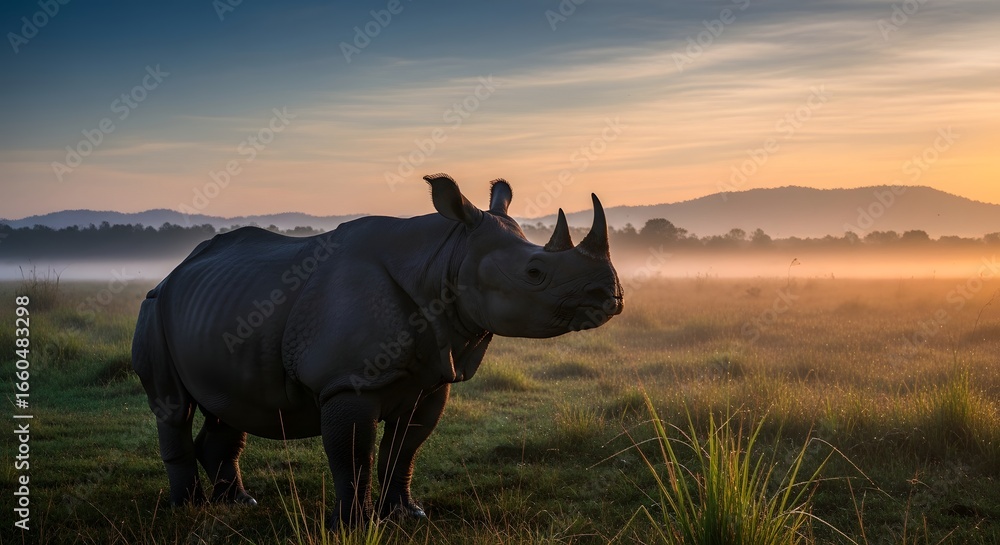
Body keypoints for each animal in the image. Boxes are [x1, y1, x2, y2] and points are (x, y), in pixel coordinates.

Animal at [131, 173, 623, 526]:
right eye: (535, 272)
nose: (611, 296)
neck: (446, 257)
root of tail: (176, 270)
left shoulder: (430, 381)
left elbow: (403, 449)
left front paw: (406, 515)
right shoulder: (347, 382)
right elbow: (353, 455)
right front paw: (352, 526)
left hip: (221, 307)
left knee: (229, 404)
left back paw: (239, 504)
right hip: (155, 307)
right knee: (174, 406)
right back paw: (188, 509)